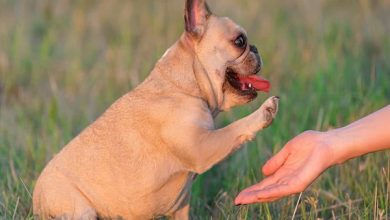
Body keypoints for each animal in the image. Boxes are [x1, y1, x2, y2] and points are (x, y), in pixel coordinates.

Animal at [32, 0, 278, 218]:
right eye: (239, 41)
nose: (256, 49)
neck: (183, 85)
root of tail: (37, 201)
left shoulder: (181, 206)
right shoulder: (202, 147)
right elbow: (235, 128)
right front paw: (264, 111)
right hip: (81, 210)